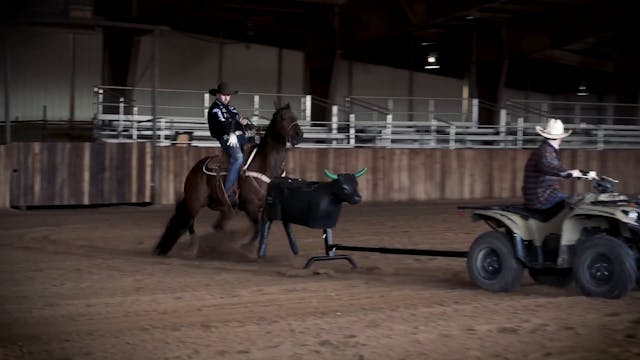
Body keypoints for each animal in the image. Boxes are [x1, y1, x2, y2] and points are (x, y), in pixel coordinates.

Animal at [154, 102, 304, 256]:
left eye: (295, 116)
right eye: (283, 117)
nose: (299, 135)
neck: (266, 165)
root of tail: (194, 170)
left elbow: (262, 228)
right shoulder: (250, 206)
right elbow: (257, 228)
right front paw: (245, 248)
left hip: (216, 204)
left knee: (206, 224)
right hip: (195, 202)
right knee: (187, 221)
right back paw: (191, 246)